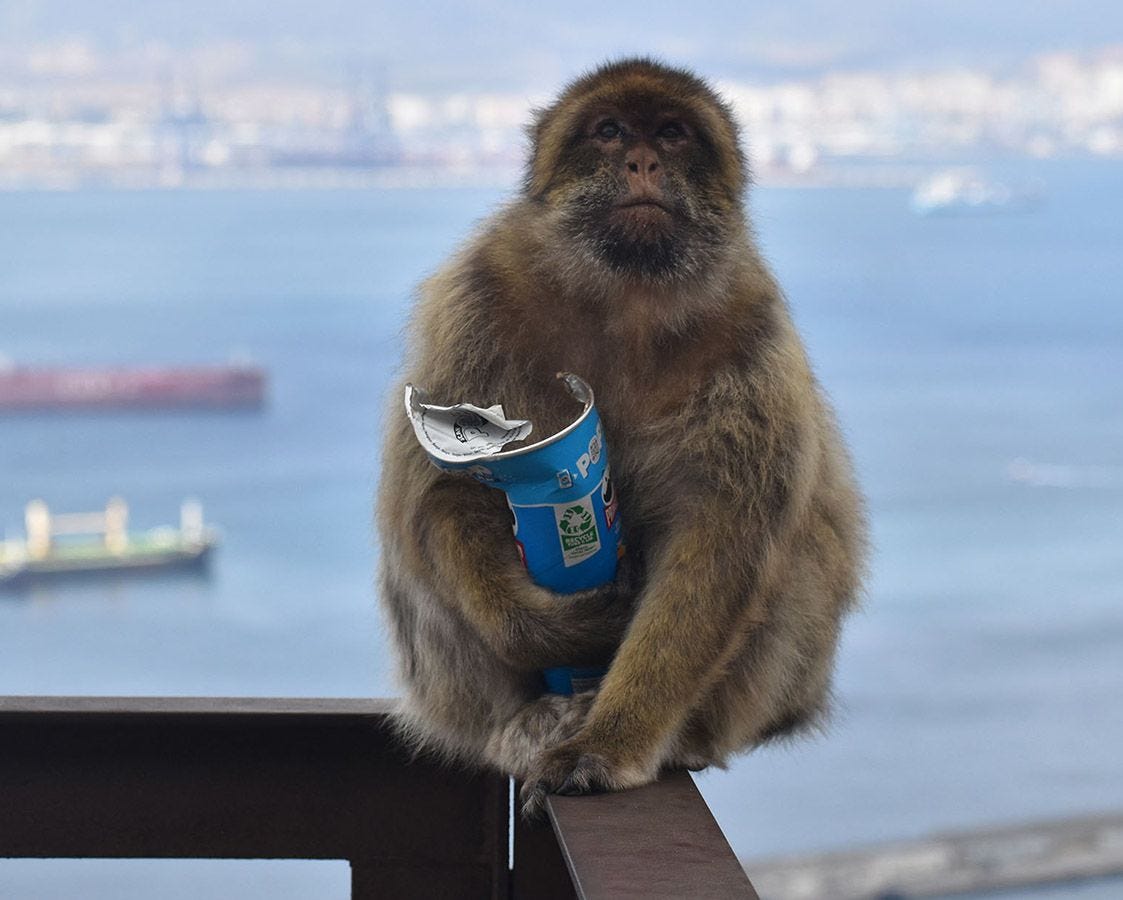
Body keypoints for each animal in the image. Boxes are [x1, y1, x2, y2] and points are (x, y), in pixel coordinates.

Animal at [377, 57, 866, 817]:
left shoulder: (751, 334)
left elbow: (720, 539)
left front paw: (610, 744)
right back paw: (526, 719)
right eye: (608, 131)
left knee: (805, 546)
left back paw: (680, 734)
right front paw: (563, 628)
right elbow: (444, 491)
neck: (626, 298)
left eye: (671, 133)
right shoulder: (476, 295)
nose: (642, 161)